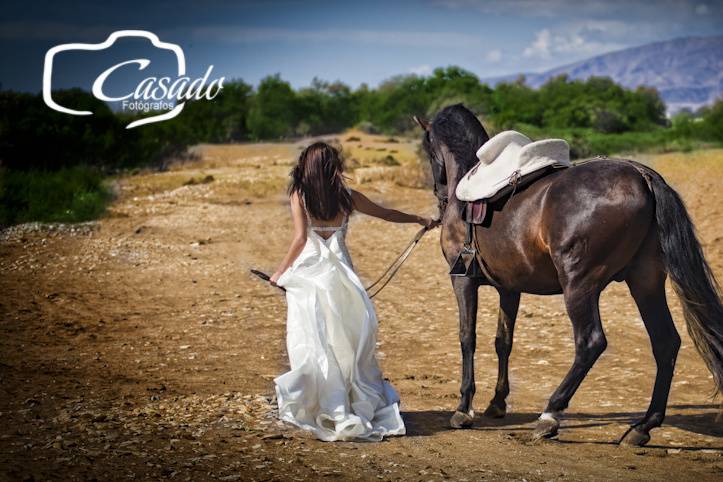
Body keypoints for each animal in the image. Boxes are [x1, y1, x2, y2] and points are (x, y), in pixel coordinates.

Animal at [416, 103, 723, 446]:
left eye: (428, 149)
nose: (441, 195)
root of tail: (641, 175)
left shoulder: (463, 280)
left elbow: (467, 337)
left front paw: (463, 408)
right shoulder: (510, 288)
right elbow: (503, 341)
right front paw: (496, 403)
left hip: (580, 285)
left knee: (591, 342)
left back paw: (550, 415)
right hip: (645, 283)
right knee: (665, 342)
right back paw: (643, 426)